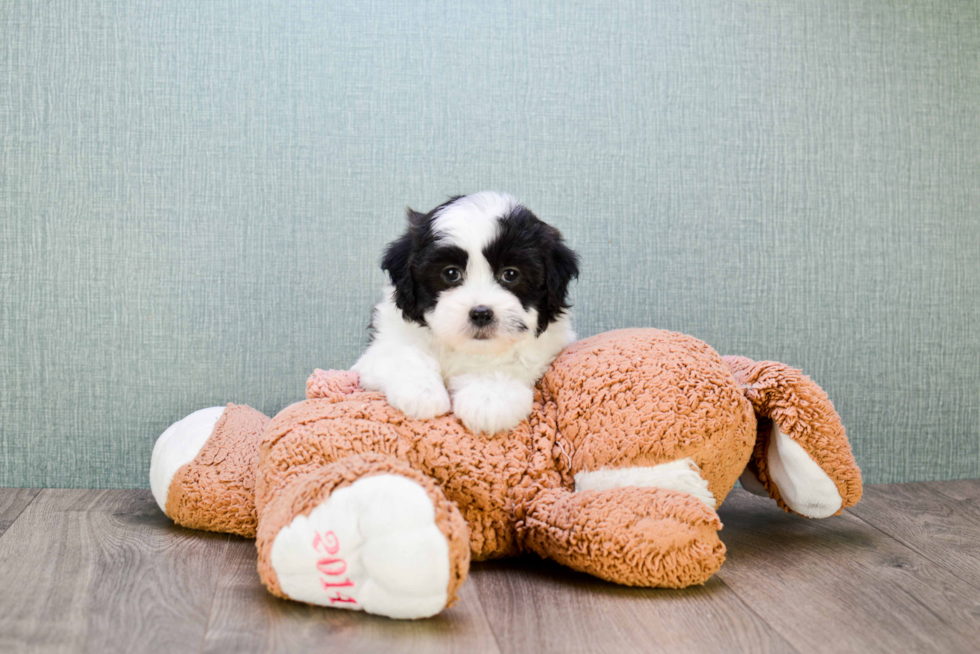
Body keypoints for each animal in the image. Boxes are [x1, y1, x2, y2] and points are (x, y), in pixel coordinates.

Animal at [354, 191, 580, 436]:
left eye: (510, 274)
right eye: (451, 273)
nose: (481, 313)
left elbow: (507, 363)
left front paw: (487, 398)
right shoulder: (390, 336)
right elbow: (403, 353)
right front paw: (422, 392)